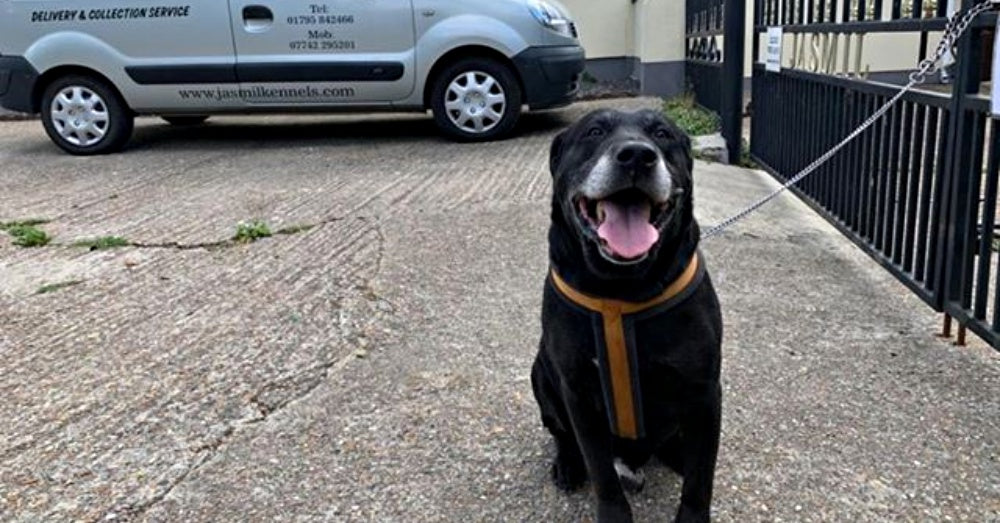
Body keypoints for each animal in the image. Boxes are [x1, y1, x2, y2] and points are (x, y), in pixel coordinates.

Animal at [536, 108, 724, 520]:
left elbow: (701, 478)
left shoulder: (704, 392)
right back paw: (568, 464)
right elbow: (600, 470)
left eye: (662, 133)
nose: (637, 155)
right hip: (539, 375)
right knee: (563, 435)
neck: (621, 289)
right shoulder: (578, 393)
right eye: (593, 131)